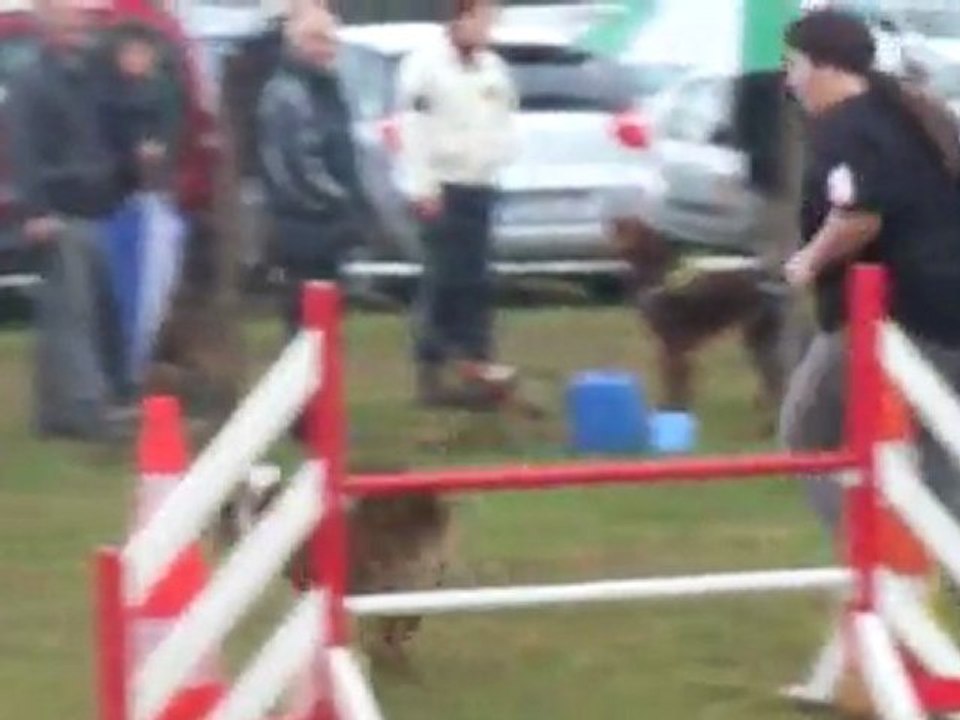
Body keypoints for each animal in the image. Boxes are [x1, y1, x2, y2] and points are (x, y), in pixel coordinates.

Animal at [611, 216, 786, 432]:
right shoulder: (672, 346)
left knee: (774, 378)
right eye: (620, 228)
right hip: (758, 338)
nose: (617, 249)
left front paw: (672, 409)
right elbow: (677, 381)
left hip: (757, 337)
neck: (659, 275)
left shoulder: (672, 343)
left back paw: (768, 422)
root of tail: (770, 279)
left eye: (631, 228)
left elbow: (674, 381)